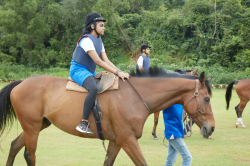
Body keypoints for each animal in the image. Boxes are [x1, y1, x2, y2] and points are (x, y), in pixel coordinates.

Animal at [0, 67, 215, 165]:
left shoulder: (116, 141)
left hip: (37, 126)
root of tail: (20, 83)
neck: (135, 96)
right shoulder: (128, 141)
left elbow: (108, 162)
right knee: (29, 154)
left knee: (14, 146)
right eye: (206, 99)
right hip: (32, 128)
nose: (211, 128)